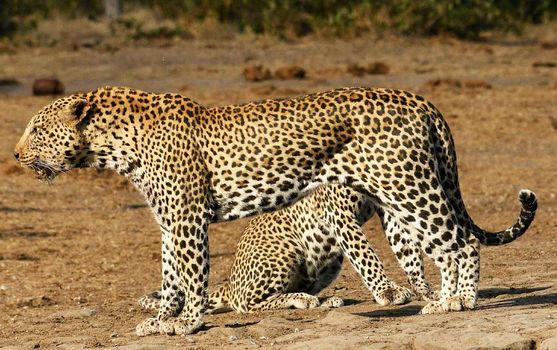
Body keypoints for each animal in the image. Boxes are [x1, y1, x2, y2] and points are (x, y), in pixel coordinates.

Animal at [14, 85, 536, 336]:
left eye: (36, 128)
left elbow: (193, 277)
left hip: (408, 187)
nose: (16, 155)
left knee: (460, 243)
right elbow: (170, 278)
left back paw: (456, 302)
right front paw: (161, 320)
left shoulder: (186, 218)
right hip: (398, 197)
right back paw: (437, 299)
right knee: (438, 247)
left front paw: (187, 324)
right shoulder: (168, 220)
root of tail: (420, 98)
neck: (112, 146)